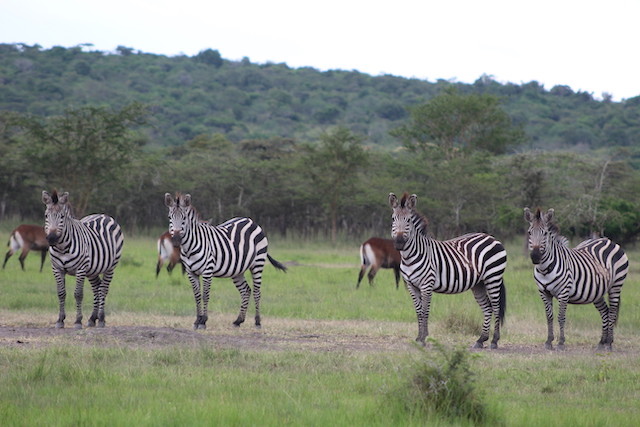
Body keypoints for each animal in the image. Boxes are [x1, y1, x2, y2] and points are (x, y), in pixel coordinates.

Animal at [42, 190, 124, 329]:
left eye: (62, 216)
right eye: (46, 216)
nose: (52, 238)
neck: (62, 248)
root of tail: (103, 215)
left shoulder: (80, 269)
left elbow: (78, 294)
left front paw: (78, 321)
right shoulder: (57, 269)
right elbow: (61, 293)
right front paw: (60, 320)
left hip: (110, 267)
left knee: (103, 289)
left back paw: (101, 319)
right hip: (92, 270)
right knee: (97, 288)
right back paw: (92, 319)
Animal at [164, 193, 287, 330]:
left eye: (184, 218)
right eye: (169, 217)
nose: (176, 240)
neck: (189, 248)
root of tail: (250, 221)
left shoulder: (207, 270)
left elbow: (205, 295)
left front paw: (203, 321)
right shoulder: (191, 272)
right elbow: (197, 296)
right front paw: (197, 320)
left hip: (258, 263)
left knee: (256, 292)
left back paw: (257, 322)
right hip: (237, 269)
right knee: (246, 291)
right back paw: (238, 320)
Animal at [389, 192, 507, 348]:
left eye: (408, 220)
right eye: (393, 219)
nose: (399, 243)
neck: (409, 257)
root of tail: (491, 238)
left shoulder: (427, 285)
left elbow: (425, 311)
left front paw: (424, 338)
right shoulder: (411, 286)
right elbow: (418, 312)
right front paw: (419, 338)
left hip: (493, 277)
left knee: (496, 307)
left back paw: (494, 341)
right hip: (479, 284)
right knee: (487, 308)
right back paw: (481, 340)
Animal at [524, 207, 629, 351]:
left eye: (544, 233)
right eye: (529, 232)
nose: (535, 257)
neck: (544, 269)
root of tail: (607, 240)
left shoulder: (564, 292)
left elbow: (561, 317)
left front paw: (561, 343)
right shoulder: (543, 293)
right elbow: (549, 317)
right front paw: (549, 341)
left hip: (616, 285)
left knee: (612, 312)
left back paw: (608, 343)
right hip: (597, 291)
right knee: (605, 312)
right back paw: (601, 342)